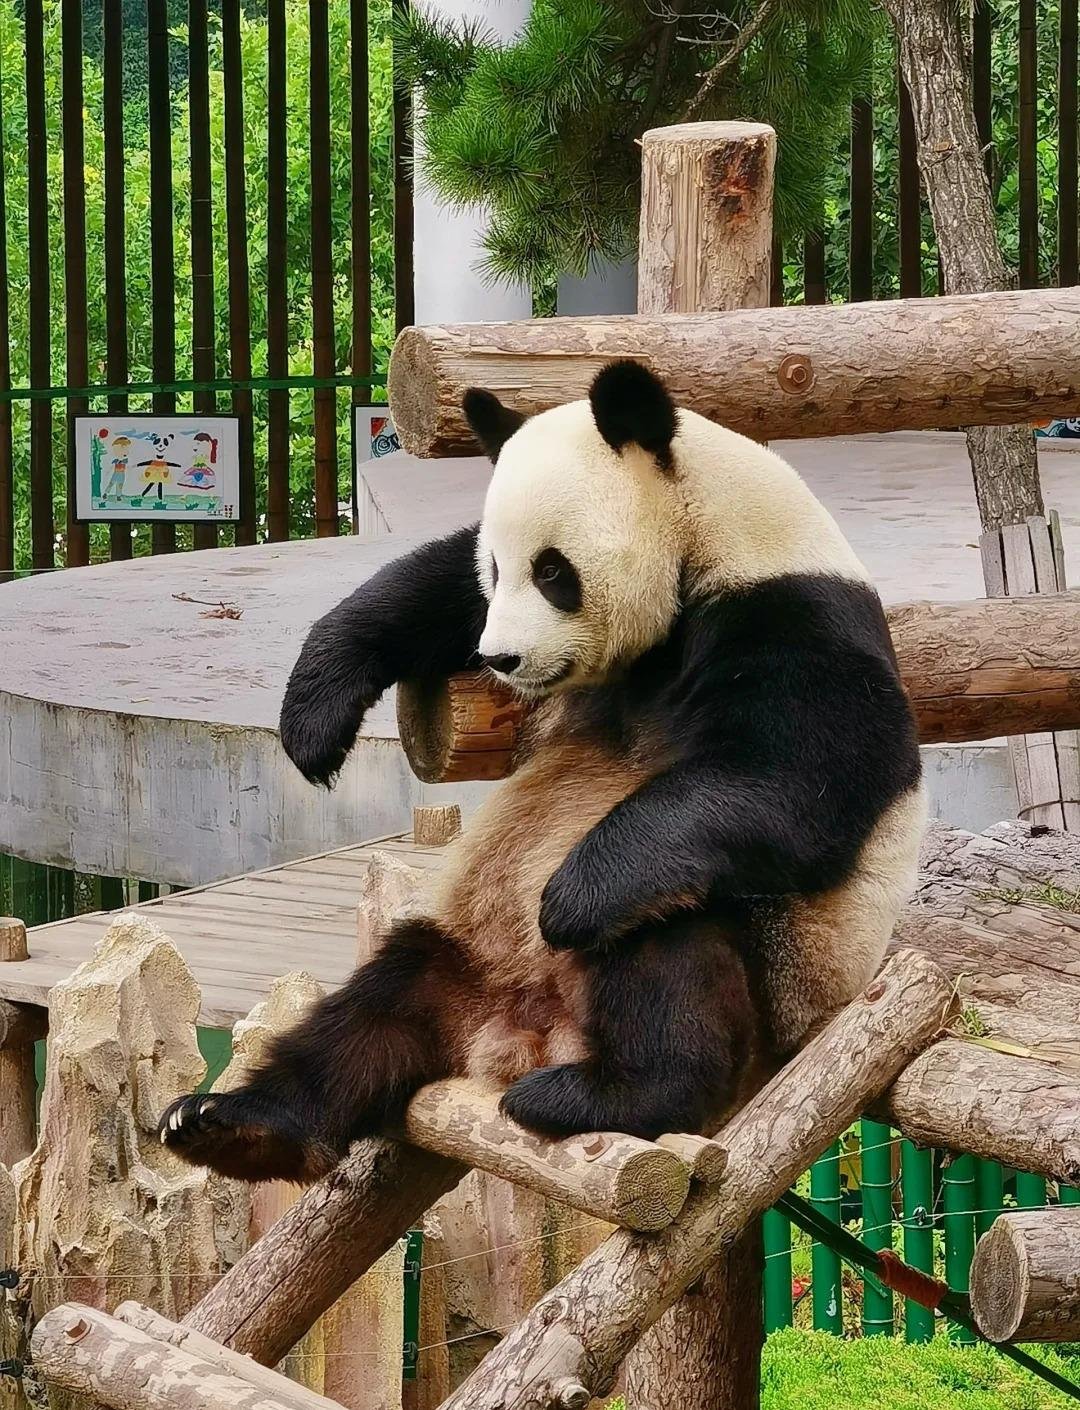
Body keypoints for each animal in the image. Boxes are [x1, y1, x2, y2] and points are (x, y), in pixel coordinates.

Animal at [160, 359, 925, 1184]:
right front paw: (312, 720)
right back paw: (233, 1123)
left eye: (556, 571)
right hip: (456, 952)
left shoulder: (793, 616)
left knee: (670, 937)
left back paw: (607, 1091)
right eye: (499, 570)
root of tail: (517, 1036)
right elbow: (426, 588)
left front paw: (569, 900)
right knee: (368, 1017)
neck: (710, 532)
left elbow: (789, 783)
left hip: (769, 979)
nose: (501, 658)